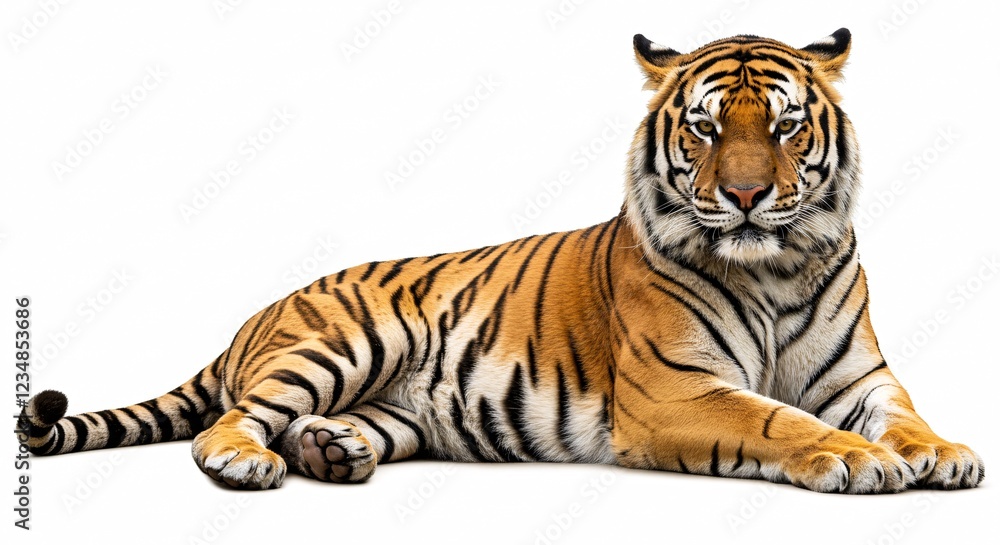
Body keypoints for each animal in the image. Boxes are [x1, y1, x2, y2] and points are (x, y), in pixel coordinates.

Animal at [18, 28, 984, 493]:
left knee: (318, 425)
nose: (746, 196)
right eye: (707, 129)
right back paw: (247, 461)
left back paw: (332, 449)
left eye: (784, 126)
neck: (773, 266)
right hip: (343, 342)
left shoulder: (861, 379)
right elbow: (777, 420)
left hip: (401, 408)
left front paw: (946, 453)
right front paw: (856, 460)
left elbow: (904, 417)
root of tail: (254, 316)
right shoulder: (676, 389)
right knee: (234, 419)